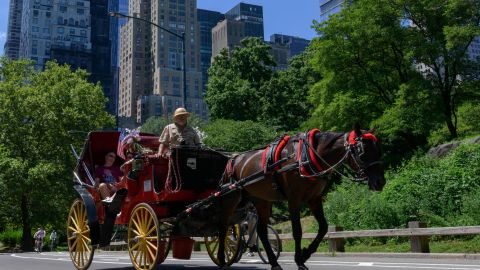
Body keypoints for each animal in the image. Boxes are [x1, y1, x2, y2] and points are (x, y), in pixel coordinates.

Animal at [218, 126, 386, 270]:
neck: (305, 157)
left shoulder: (315, 199)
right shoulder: (294, 199)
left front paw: (305, 254)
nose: (380, 182)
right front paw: (299, 260)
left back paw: (274, 263)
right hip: (231, 200)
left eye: (379, 150)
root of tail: (234, 159)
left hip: (261, 201)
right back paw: (221, 259)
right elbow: (297, 231)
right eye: (362, 152)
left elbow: (323, 227)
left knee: (261, 231)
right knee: (223, 227)